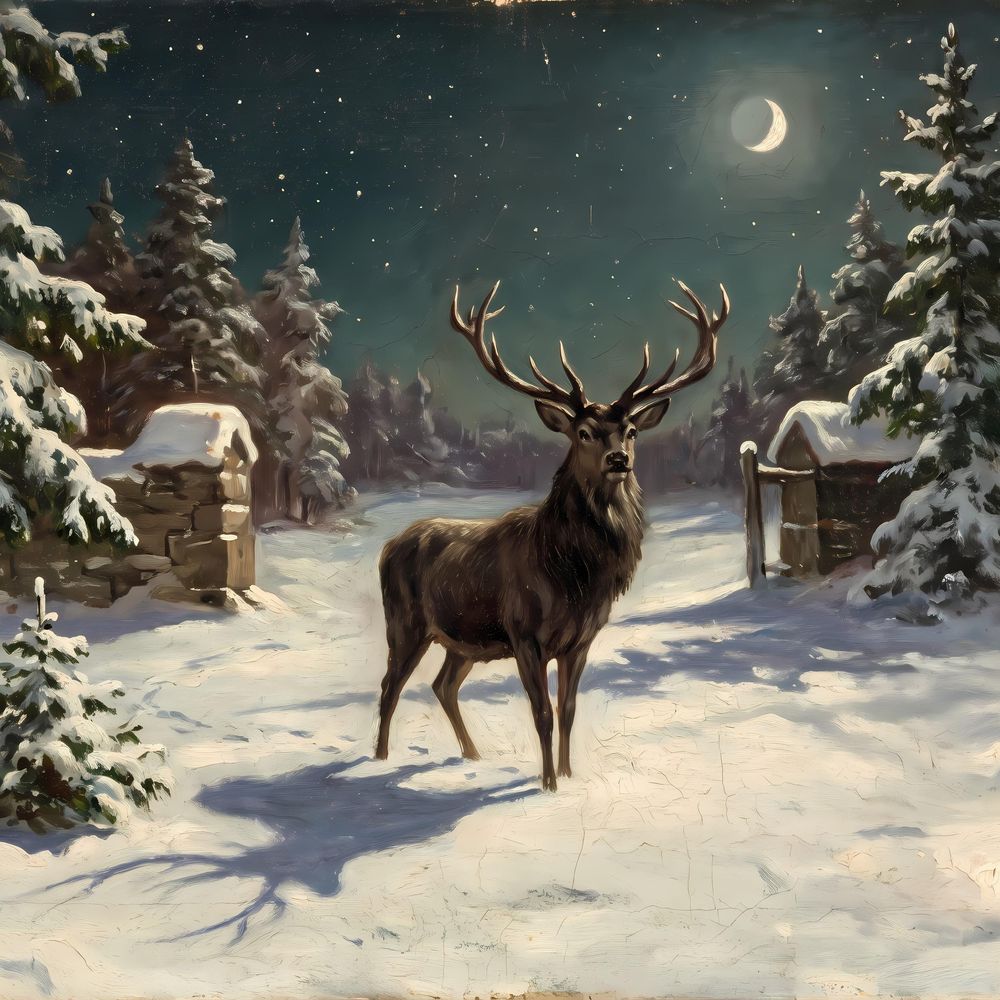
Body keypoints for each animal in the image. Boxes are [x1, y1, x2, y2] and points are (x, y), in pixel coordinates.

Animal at [375, 278, 729, 790]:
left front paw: (567, 775)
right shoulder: (524, 634)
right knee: (389, 686)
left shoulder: (580, 640)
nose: (619, 460)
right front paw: (547, 785)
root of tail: (388, 546)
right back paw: (379, 759)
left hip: (462, 639)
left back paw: (472, 754)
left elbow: (569, 711)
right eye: (583, 432)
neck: (571, 573)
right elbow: (541, 713)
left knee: (442, 685)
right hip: (404, 622)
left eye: (631, 430)